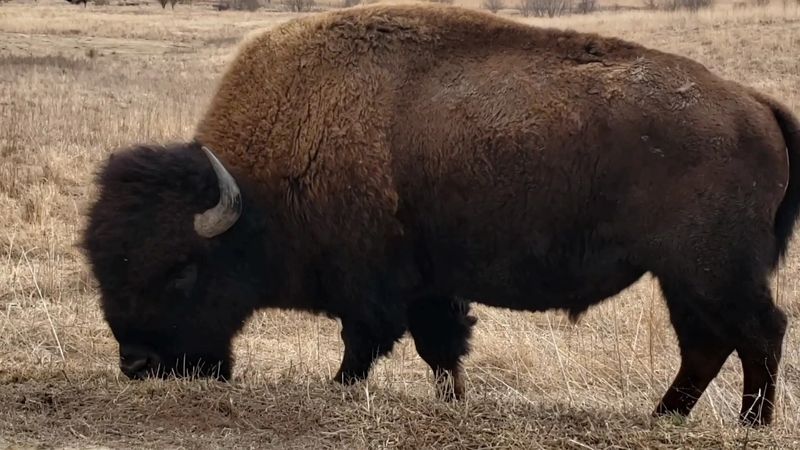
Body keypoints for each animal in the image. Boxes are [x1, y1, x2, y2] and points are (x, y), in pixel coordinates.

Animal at [82, 4, 799, 426]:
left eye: (181, 269)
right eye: (104, 267)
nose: (137, 364)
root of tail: (755, 103)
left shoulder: (376, 286)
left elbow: (369, 344)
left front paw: (339, 389)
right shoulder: (430, 284)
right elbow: (440, 347)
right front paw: (452, 401)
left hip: (713, 271)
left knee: (760, 332)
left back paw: (750, 424)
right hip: (683, 278)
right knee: (707, 345)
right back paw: (663, 417)